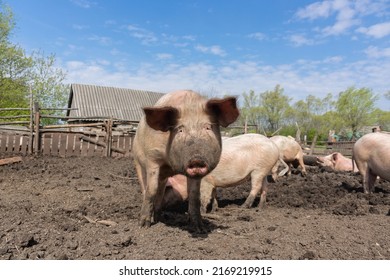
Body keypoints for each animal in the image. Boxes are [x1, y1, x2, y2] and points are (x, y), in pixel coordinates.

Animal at [133, 89, 239, 232]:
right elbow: (151, 190)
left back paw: (159, 218)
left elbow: (194, 195)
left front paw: (199, 228)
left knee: (161, 192)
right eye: (180, 130)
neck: (170, 164)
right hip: (137, 162)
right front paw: (143, 226)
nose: (196, 158)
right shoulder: (152, 159)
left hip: (163, 177)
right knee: (146, 189)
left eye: (208, 127)